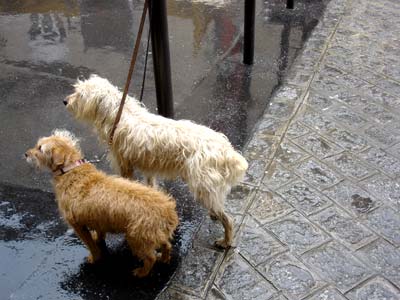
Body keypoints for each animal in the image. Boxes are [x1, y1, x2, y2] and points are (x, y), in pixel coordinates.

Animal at [25, 129, 179, 276]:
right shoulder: (97, 217)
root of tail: (168, 210)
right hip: (154, 235)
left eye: (40, 148)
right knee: (167, 245)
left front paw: (94, 258)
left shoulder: (77, 224)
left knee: (150, 258)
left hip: (137, 239)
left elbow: (90, 245)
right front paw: (98, 239)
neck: (71, 170)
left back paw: (142, 272)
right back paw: (164, 258)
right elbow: (99, 233)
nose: (26, 154)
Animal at [63, 75, 247, 248]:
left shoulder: (124, 164)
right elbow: (150, 185)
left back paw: (226, 240)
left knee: (228, 219)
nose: (65, 101)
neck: (117, 112)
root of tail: (225, 149)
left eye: (80, 94)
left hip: (202, 185)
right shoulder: (148, 167)